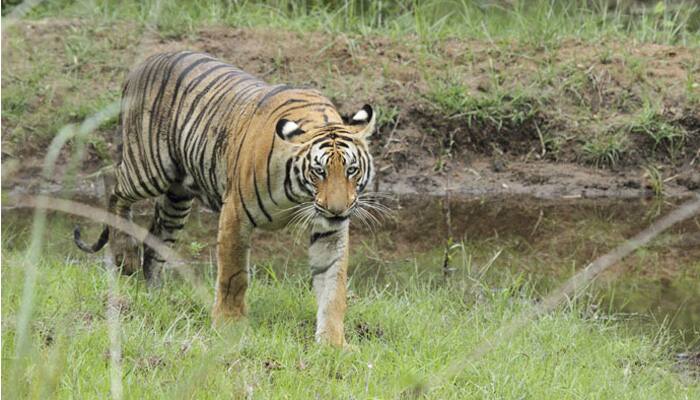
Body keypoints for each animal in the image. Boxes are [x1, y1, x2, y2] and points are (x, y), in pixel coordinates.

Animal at [74, 50, 378, 346]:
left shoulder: (329, 231)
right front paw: (229, 325)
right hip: (148, 169)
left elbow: (333, 286)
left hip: (177, 198)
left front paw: (332, 342)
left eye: (351, 170)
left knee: (156, 241)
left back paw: (155, 293)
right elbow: (234, 275)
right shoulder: (236, 213)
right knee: (116, 191)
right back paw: (124, 256)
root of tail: (145, 60)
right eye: (319, 171)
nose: (337, 210)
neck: (299, 195)